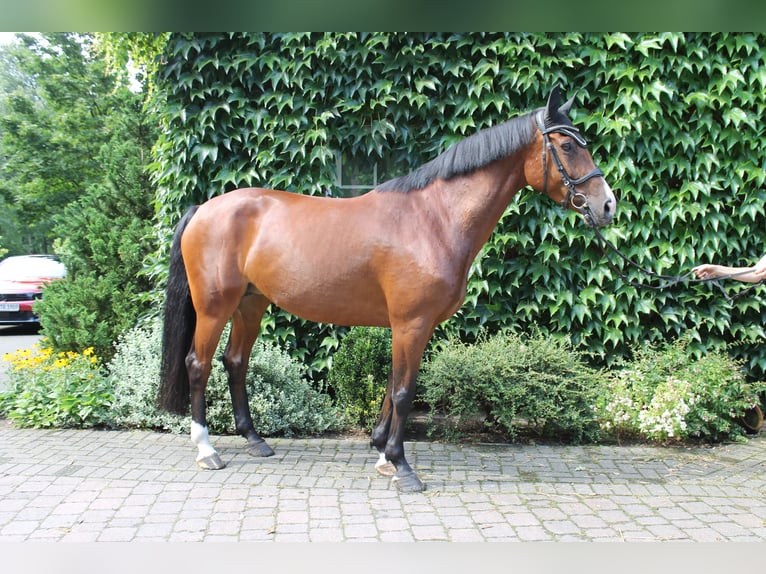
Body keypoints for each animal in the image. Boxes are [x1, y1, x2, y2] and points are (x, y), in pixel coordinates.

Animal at [160, 86, 616, 496]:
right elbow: (404, 391)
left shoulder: (407, 325)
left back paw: (254, 440)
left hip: (250, 305)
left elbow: (391, 385)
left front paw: (382, 455)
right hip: (215, 307)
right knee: (198, 364)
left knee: (235, 362)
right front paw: (403, 467)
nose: (607, 205)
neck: (434, 219)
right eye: (567, 146)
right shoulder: (412, 323)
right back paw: (206, 449)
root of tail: (203, 208)